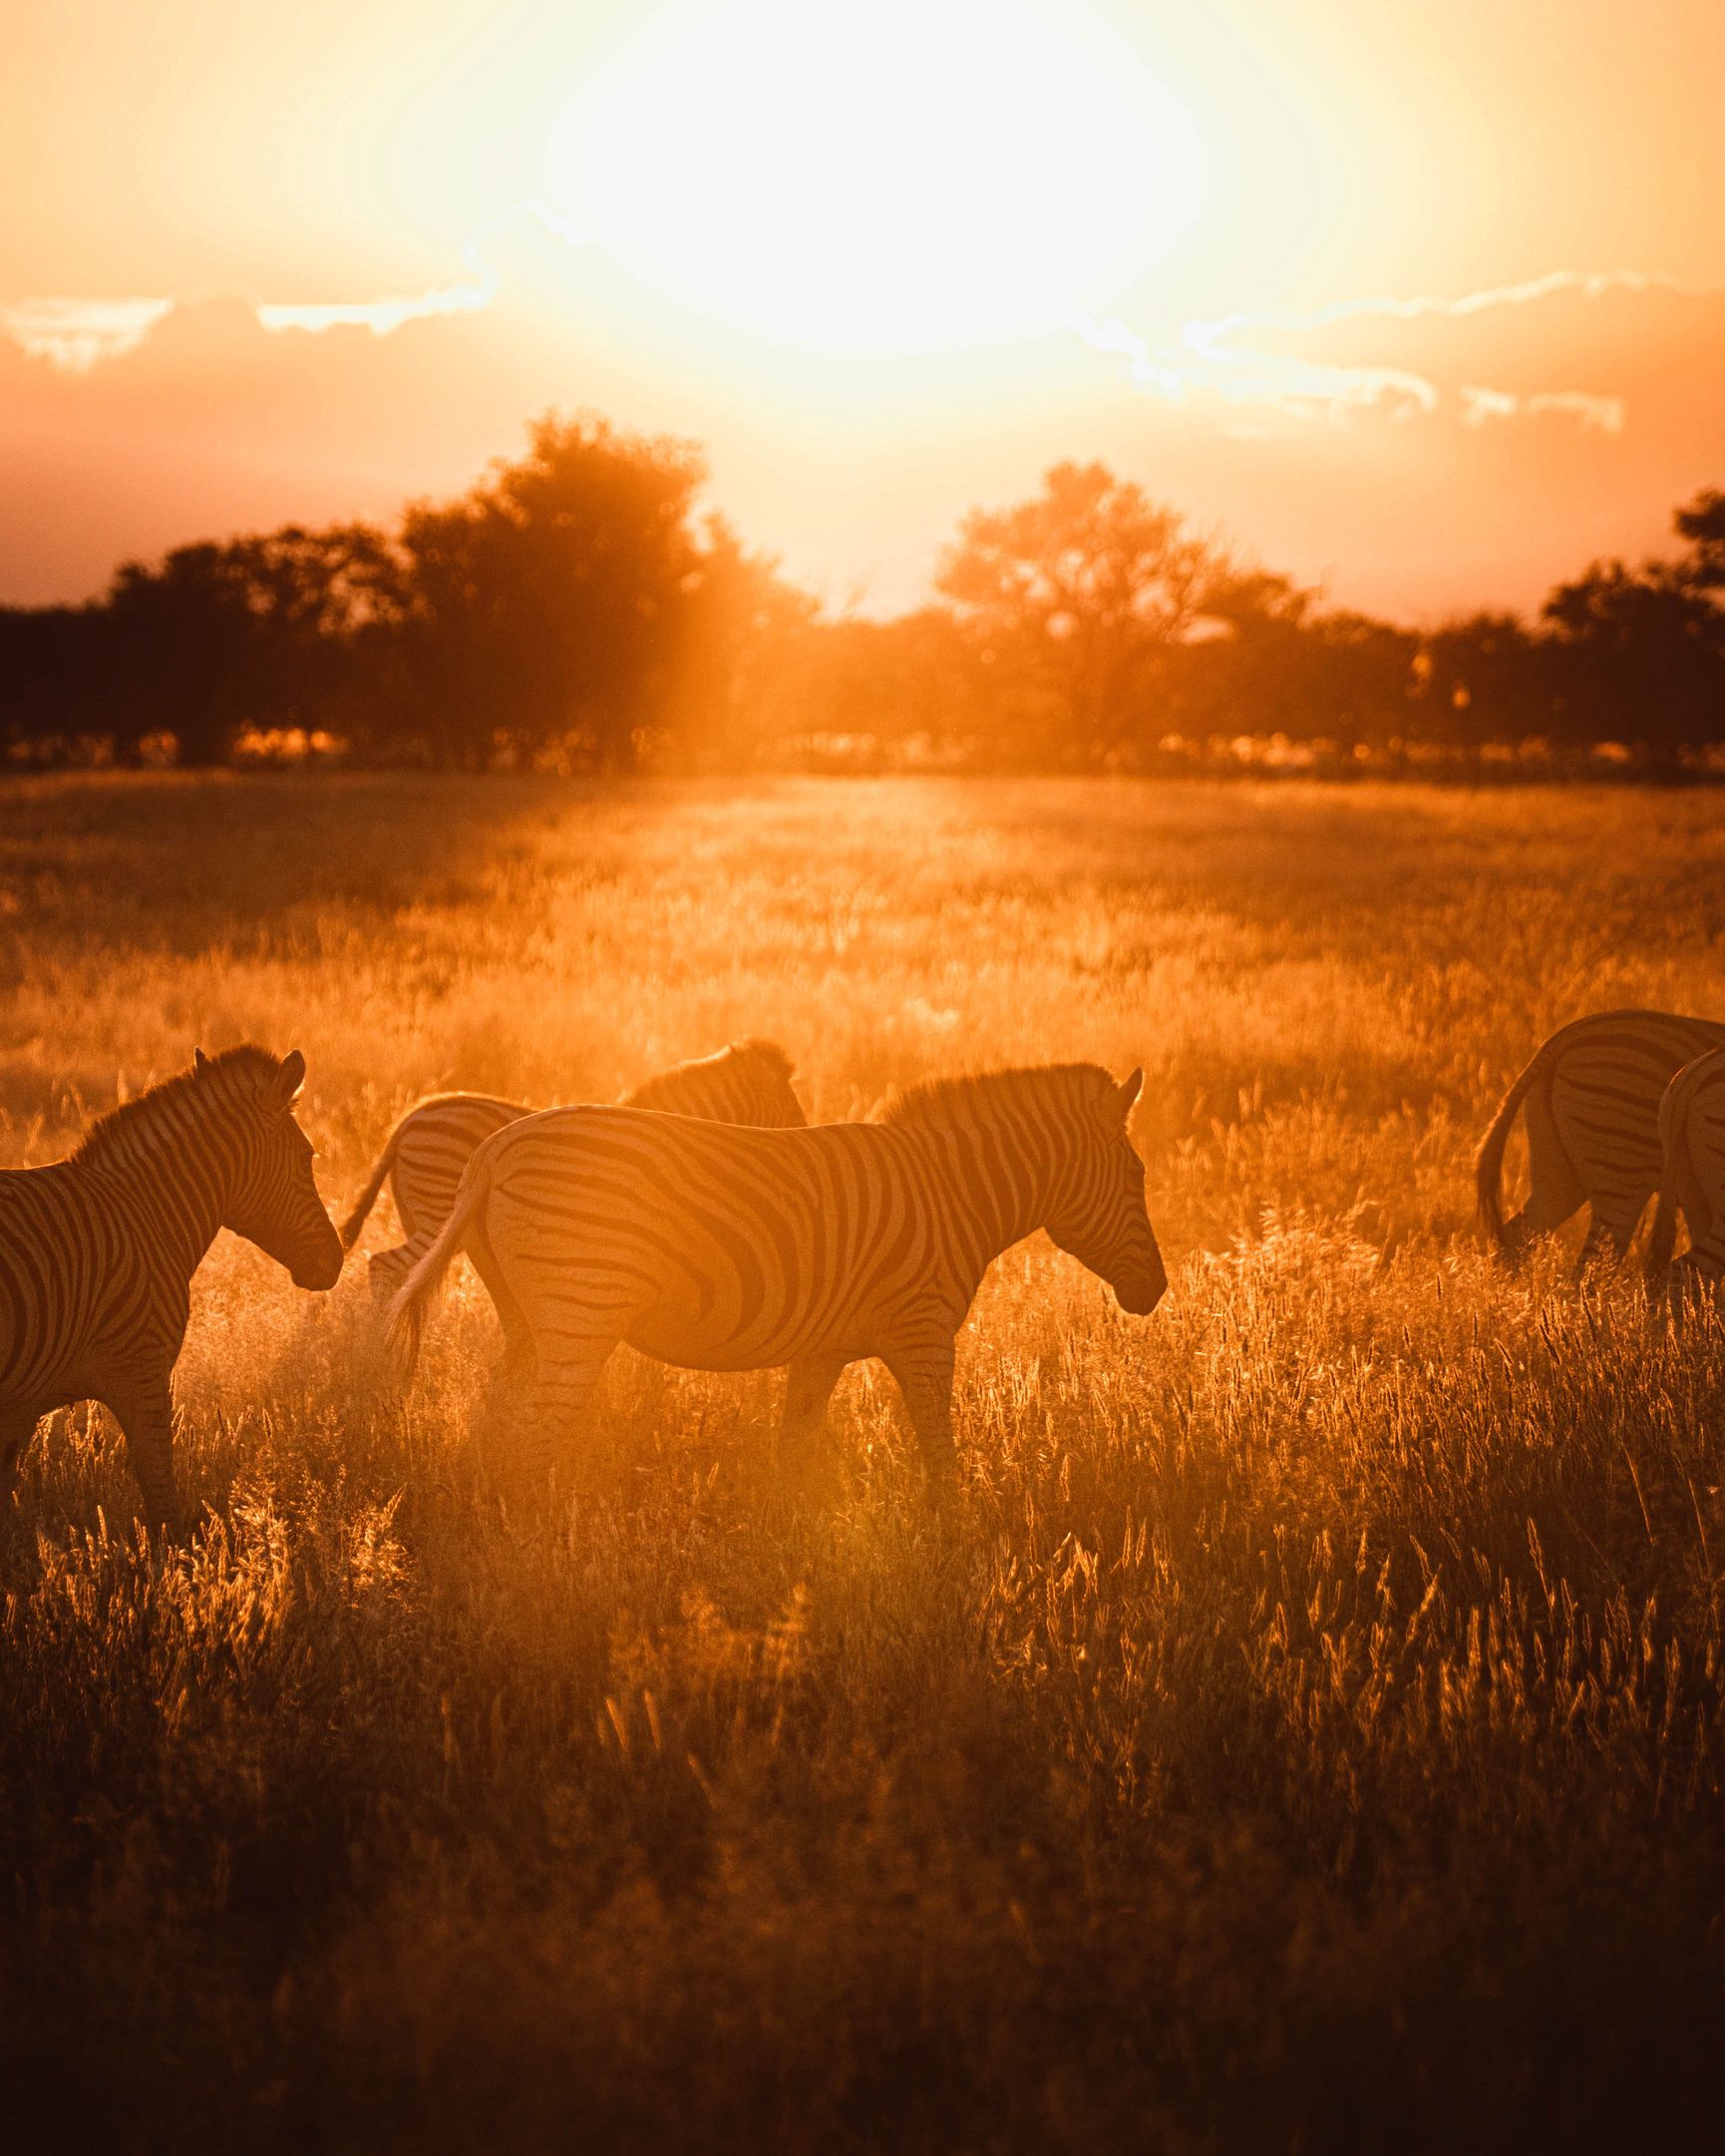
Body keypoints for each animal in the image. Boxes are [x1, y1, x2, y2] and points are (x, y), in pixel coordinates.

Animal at [0, 1047, 347, 1535]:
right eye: (307, 1156)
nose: (336, 1261)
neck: (146, 1218)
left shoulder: (20, 1408)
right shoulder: (144, 1373)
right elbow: (163, 1502)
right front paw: (173, 1556)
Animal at [342, 1034, 811, 1353]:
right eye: (790, 1106)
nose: (803, 1150)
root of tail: (409, 1118)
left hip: (428, 1218)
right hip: (437, 1213)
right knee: (384, 1265)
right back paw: (377, 1353)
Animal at [386, 1060, 1164, 1500]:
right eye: (1137, 1177)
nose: (1156, 1292)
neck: (954, 1194)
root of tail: (493, 1151)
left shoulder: (823, 1351)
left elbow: (791, 1457)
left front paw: (788, 1569)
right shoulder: (924, 1336)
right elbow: (940, 1456)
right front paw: (954, 1555)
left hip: (526, 1317)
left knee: (497, 1424)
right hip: (581, 1313)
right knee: (530, 1442)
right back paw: (536, 1566)